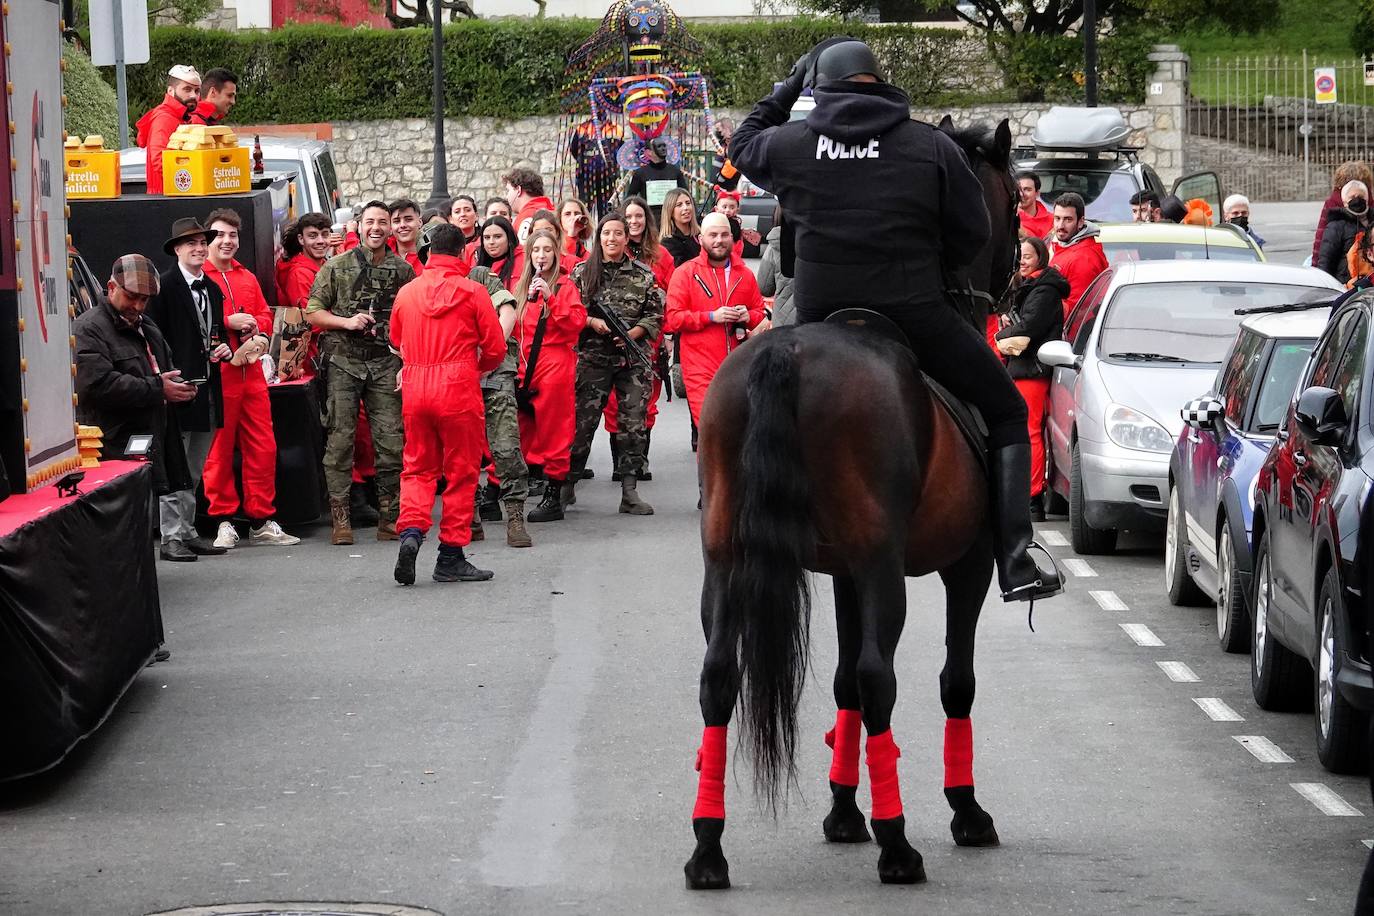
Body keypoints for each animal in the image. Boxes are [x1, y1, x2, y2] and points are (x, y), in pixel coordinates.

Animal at [687, 120, 1022, 889]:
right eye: (1018, 208)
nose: (1014, 283)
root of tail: (785, 353)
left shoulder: (842, 573)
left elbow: (838, 683)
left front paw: (843, 811)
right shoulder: (965, 565)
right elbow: (952, 682)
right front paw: (965, 810)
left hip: (728, 553)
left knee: (720, 674)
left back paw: (708, 846)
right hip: (883, 566)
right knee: (880, 679)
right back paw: (899, 846)